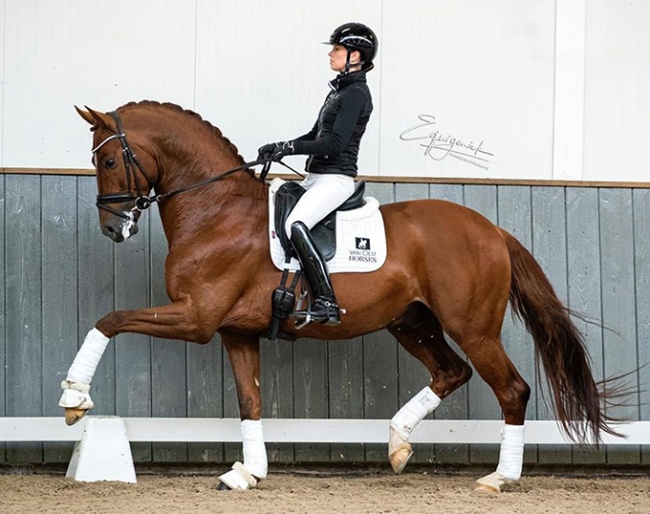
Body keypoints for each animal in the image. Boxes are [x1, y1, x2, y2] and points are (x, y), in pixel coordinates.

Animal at [62, 99, 616, 488]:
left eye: (107, 160)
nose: (114, 229)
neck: (215, 210)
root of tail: (492, 230)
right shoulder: (234, 331)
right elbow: (250, 402)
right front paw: (248, 473)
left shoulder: (196, 318)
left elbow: (109, 320)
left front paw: (75, 398)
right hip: (411, 323)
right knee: (450, 372)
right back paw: (397, 445)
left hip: (473, 327)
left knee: (511, 389)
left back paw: (500, 477)